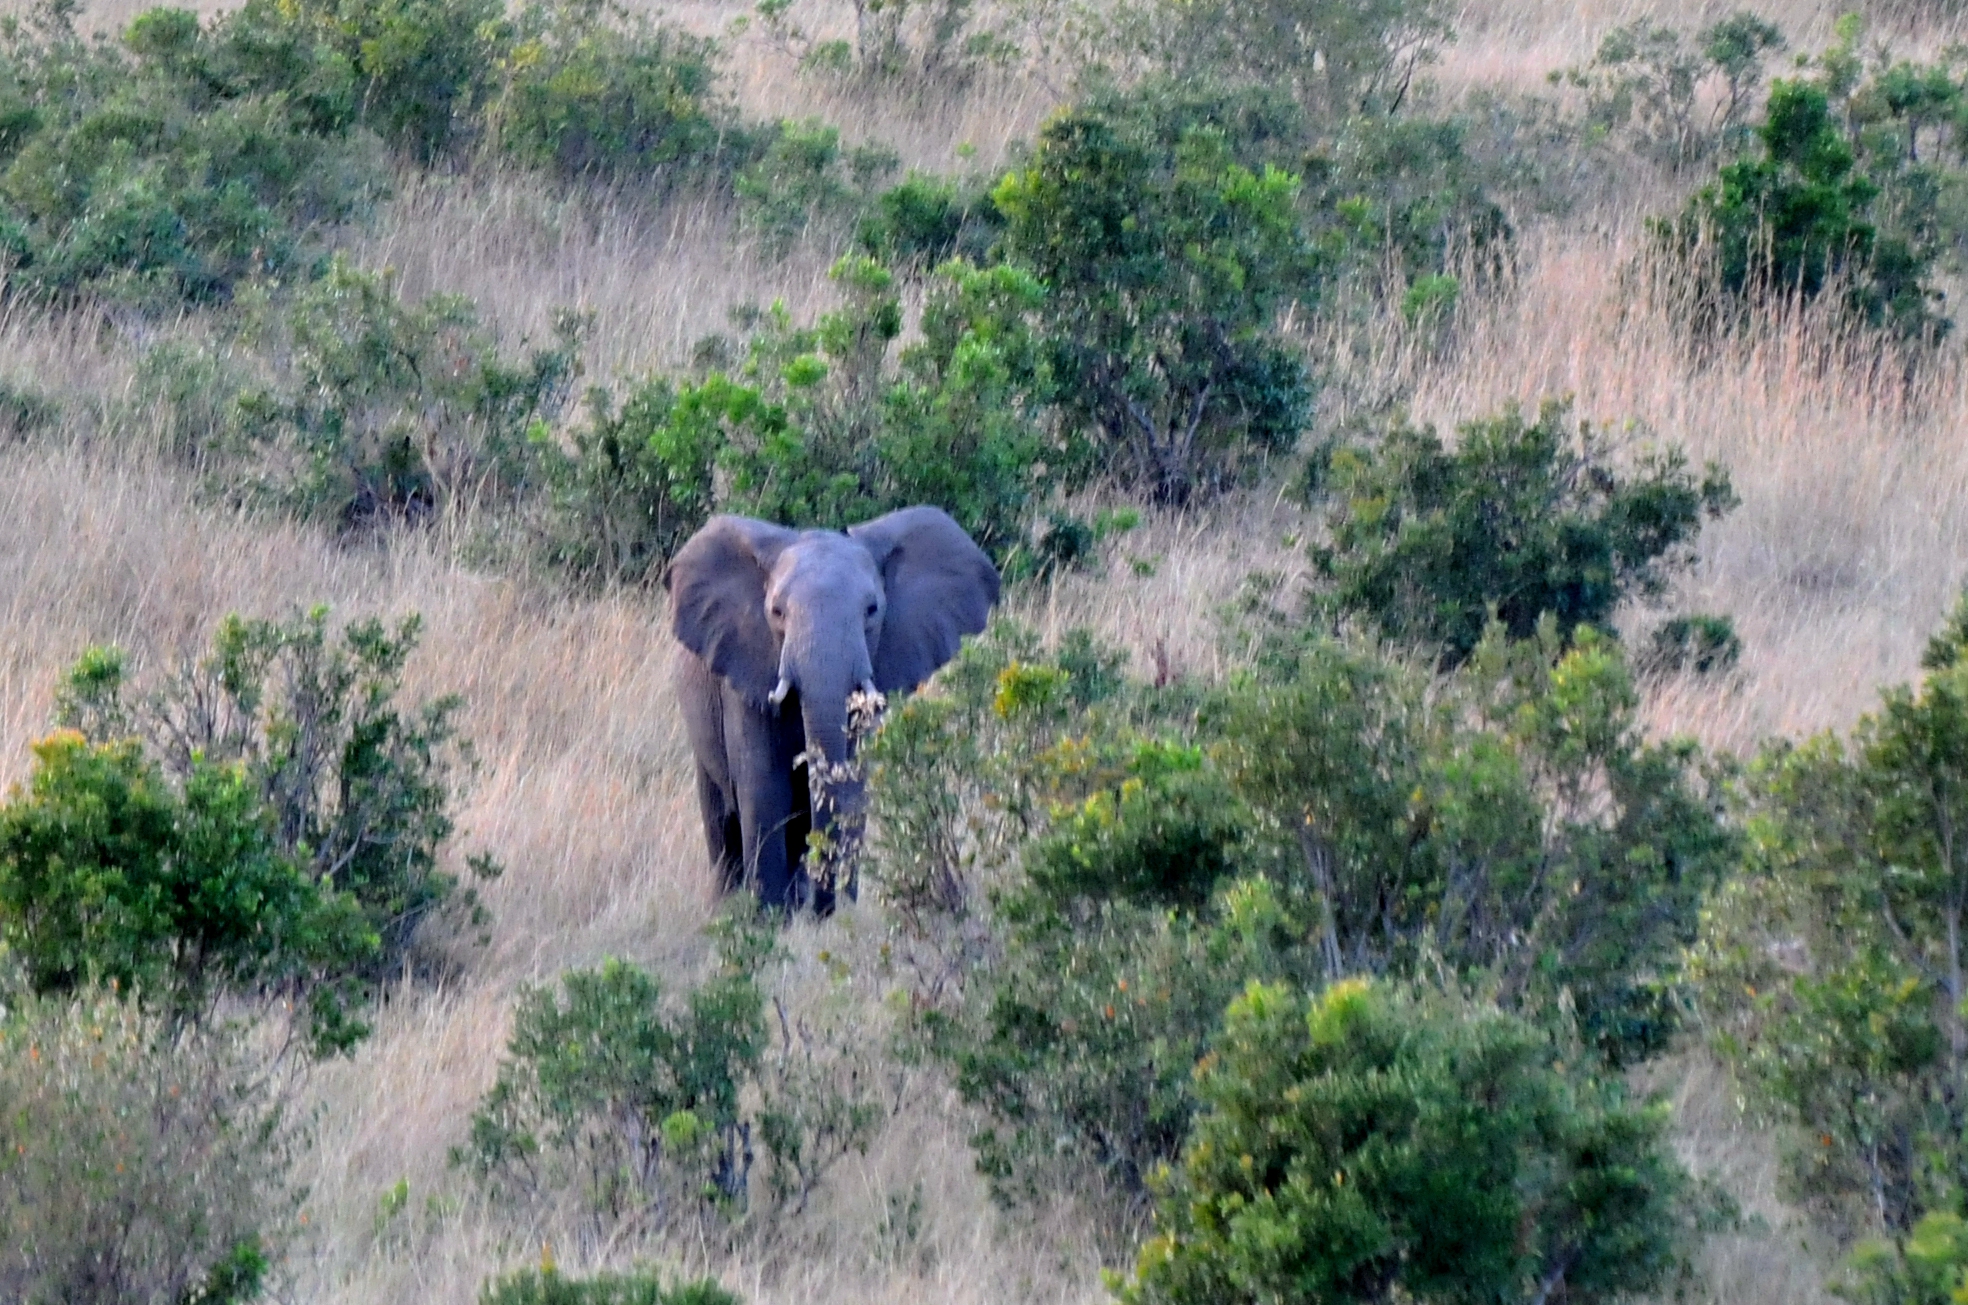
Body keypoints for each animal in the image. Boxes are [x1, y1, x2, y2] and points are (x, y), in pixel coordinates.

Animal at [665, 503, 999, 913]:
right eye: (777, 612)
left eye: (872, 610)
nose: (823, 907)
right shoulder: (745, 671)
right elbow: (764, 790)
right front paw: (768, 918)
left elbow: (853, 787)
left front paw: (838, 915)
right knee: (722, 820)